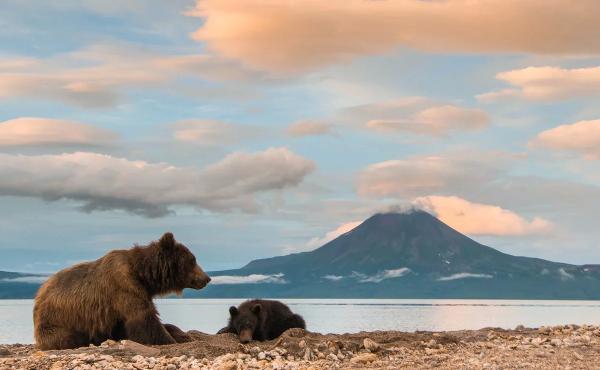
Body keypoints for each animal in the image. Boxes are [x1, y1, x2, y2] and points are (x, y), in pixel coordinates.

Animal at [34, 233, 211, 348]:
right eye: (193, 260)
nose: (207, 278)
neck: (143, 275)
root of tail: (39, 294)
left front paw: (183, 335)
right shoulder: (124, 287)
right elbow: (144, 320)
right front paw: (168, 339)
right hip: (58, 321)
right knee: (67, 337)